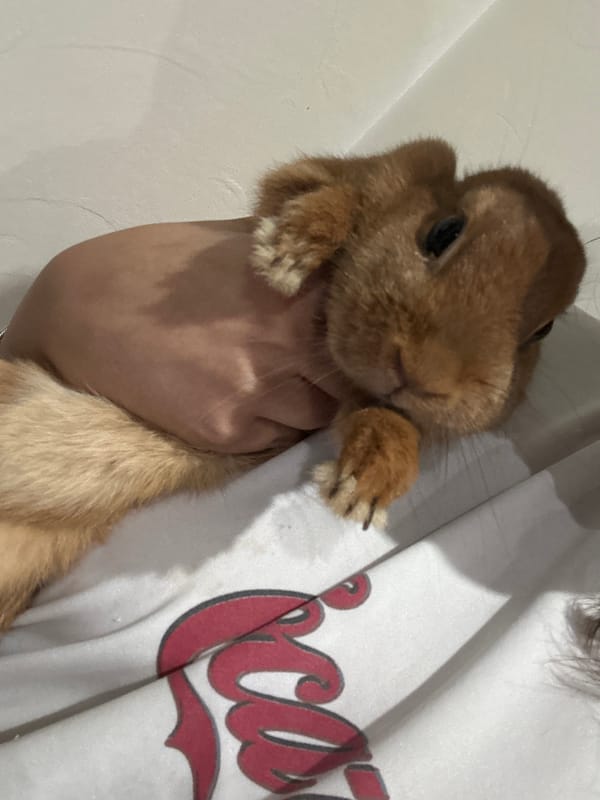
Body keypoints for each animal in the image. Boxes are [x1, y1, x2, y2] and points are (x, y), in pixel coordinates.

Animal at [0, 138, 586, 631]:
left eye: (541, 331)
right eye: (443, 231)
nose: (424, 373)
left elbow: (388, 422)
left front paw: (363, 491)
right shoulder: (315, 180)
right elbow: (331, 197)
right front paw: (288, 251)